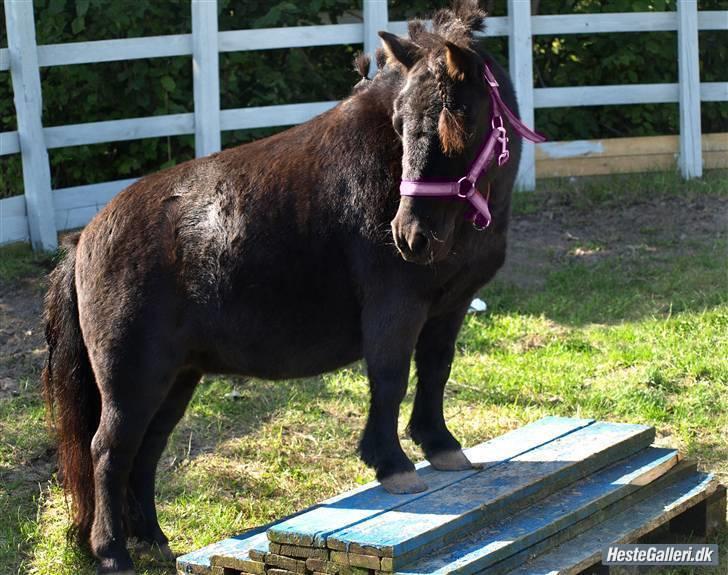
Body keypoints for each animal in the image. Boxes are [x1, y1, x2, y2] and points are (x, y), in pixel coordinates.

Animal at [39, 2, 520, 572]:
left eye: (457, 120)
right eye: (401, 125)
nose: (410, 235)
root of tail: (84, 238)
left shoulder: (449, 307)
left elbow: (436, 372)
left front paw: (441, 445)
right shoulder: (395, 309)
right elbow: (390, 379)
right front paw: (393, 464)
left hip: (175, 379)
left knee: (146, 451)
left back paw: (154, 540)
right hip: (132, 381)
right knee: (109, 452)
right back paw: (113, 552)